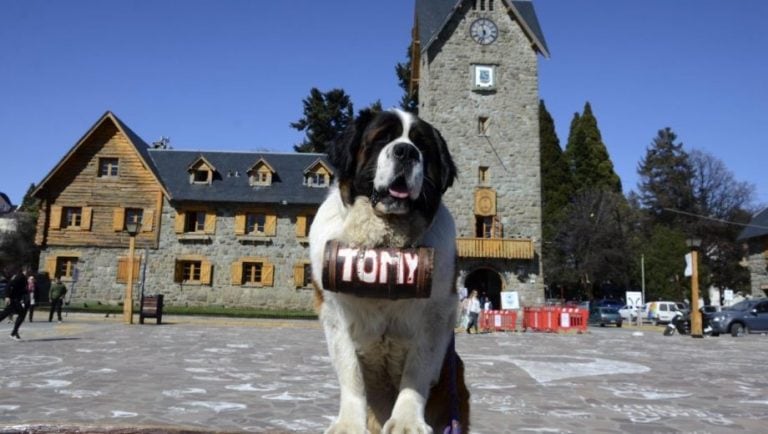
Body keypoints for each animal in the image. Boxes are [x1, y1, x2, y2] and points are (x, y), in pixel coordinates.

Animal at [310, 107, 468, 430]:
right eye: (382, 138)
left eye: (422, 146)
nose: (406, 151)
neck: (384, 244)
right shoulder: (333, 310)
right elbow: (350, 372)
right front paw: (348, 424)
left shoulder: (437, 313)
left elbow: (417, 371)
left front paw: (407, 422)